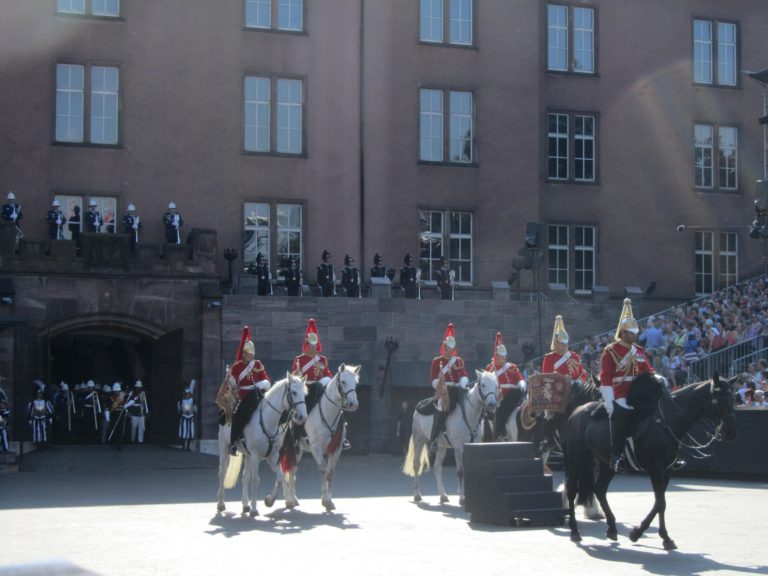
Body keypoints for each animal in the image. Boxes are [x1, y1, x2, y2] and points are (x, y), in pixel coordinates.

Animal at [216, 374, 306, 516]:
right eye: (294, 392)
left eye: (304, 393)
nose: (302, 416)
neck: (268, 421)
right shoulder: (255, 456)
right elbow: (256, 480)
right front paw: (254, 508)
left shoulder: (272, 456)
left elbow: (280, 476)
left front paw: (273, 500)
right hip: (224, 446)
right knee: (222, 472)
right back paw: (221, 504)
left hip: (247, 455)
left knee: (245, 477)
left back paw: (245, 504)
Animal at [282, 364, 360, 512]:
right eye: (343, 382)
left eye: (356, 383)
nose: (353, 404)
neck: (327, 413)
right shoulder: (316, 449)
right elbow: (323, 470)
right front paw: (325, 500)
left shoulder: (336, 449)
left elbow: (330, 473)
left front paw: (329, 500)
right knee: (286, 468)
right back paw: (288, 500)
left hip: (298, 449)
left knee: (293, 469)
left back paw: (293, 498)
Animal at [402, 372, 498, 506]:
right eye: (483, 385)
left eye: (496, 385)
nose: (492, 404)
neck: (469, 413)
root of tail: (419, 406)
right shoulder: (458, 447)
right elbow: (460, 471)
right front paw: (462, 498)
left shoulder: (473, 446)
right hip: (418, 441)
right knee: (416, 464)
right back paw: (417, 494)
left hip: (441, 447)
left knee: (437, 468)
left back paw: (443, 495)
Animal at [564, 374, 736, 548]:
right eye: (718, 399)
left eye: (732, 398)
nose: (730, 432)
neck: (668, 422)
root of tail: (577, 411)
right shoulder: (656, 469)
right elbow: (661, 503)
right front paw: (647, 534)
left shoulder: (667, 471)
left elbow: (659, 503)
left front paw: (654, 535)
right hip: (577, 460)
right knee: (572, 490)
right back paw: (574, 531)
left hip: (607, 464)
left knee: (599, 489)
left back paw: (611, 528)